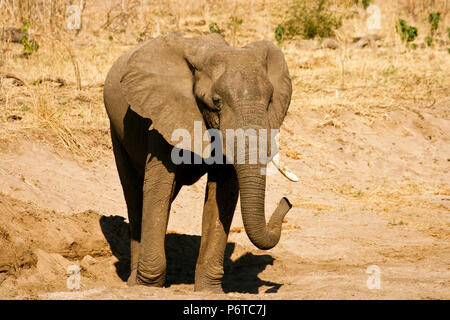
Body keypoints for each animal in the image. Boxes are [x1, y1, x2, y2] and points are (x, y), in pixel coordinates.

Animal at [103, 31, 294, 292]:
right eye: (216, 101)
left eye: (269, 101)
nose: (287, 201)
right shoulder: (163, 113)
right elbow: (158, 187)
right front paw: (148, 286)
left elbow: (223, 193)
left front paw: (209, 290)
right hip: (117, 130)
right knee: (135, 196)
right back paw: (134, 282)